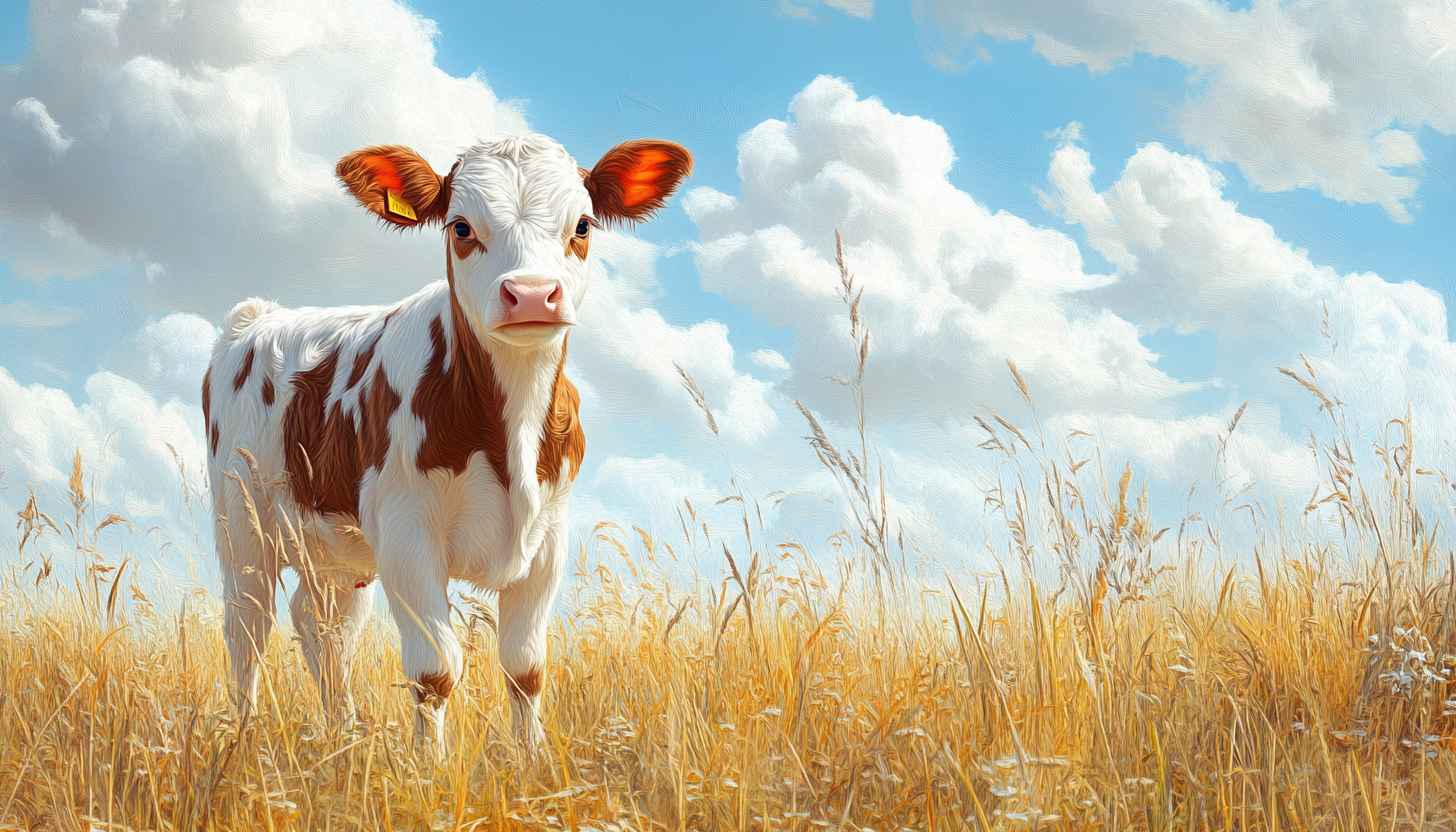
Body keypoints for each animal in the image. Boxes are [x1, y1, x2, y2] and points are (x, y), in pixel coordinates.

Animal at [202, 133, 691, 755]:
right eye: (461, 227)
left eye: (583, 225)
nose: (532, 294)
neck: (510, 436)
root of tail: (257, 318)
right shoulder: (407, 535)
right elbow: (434, 670)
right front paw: (428, 764)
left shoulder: (549, 538)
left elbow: (526, 667)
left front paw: (531, 757)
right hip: (241, 521)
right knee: (247, 624)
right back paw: (242, 735)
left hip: (334, 550)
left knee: (324, 626)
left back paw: (344, 734)